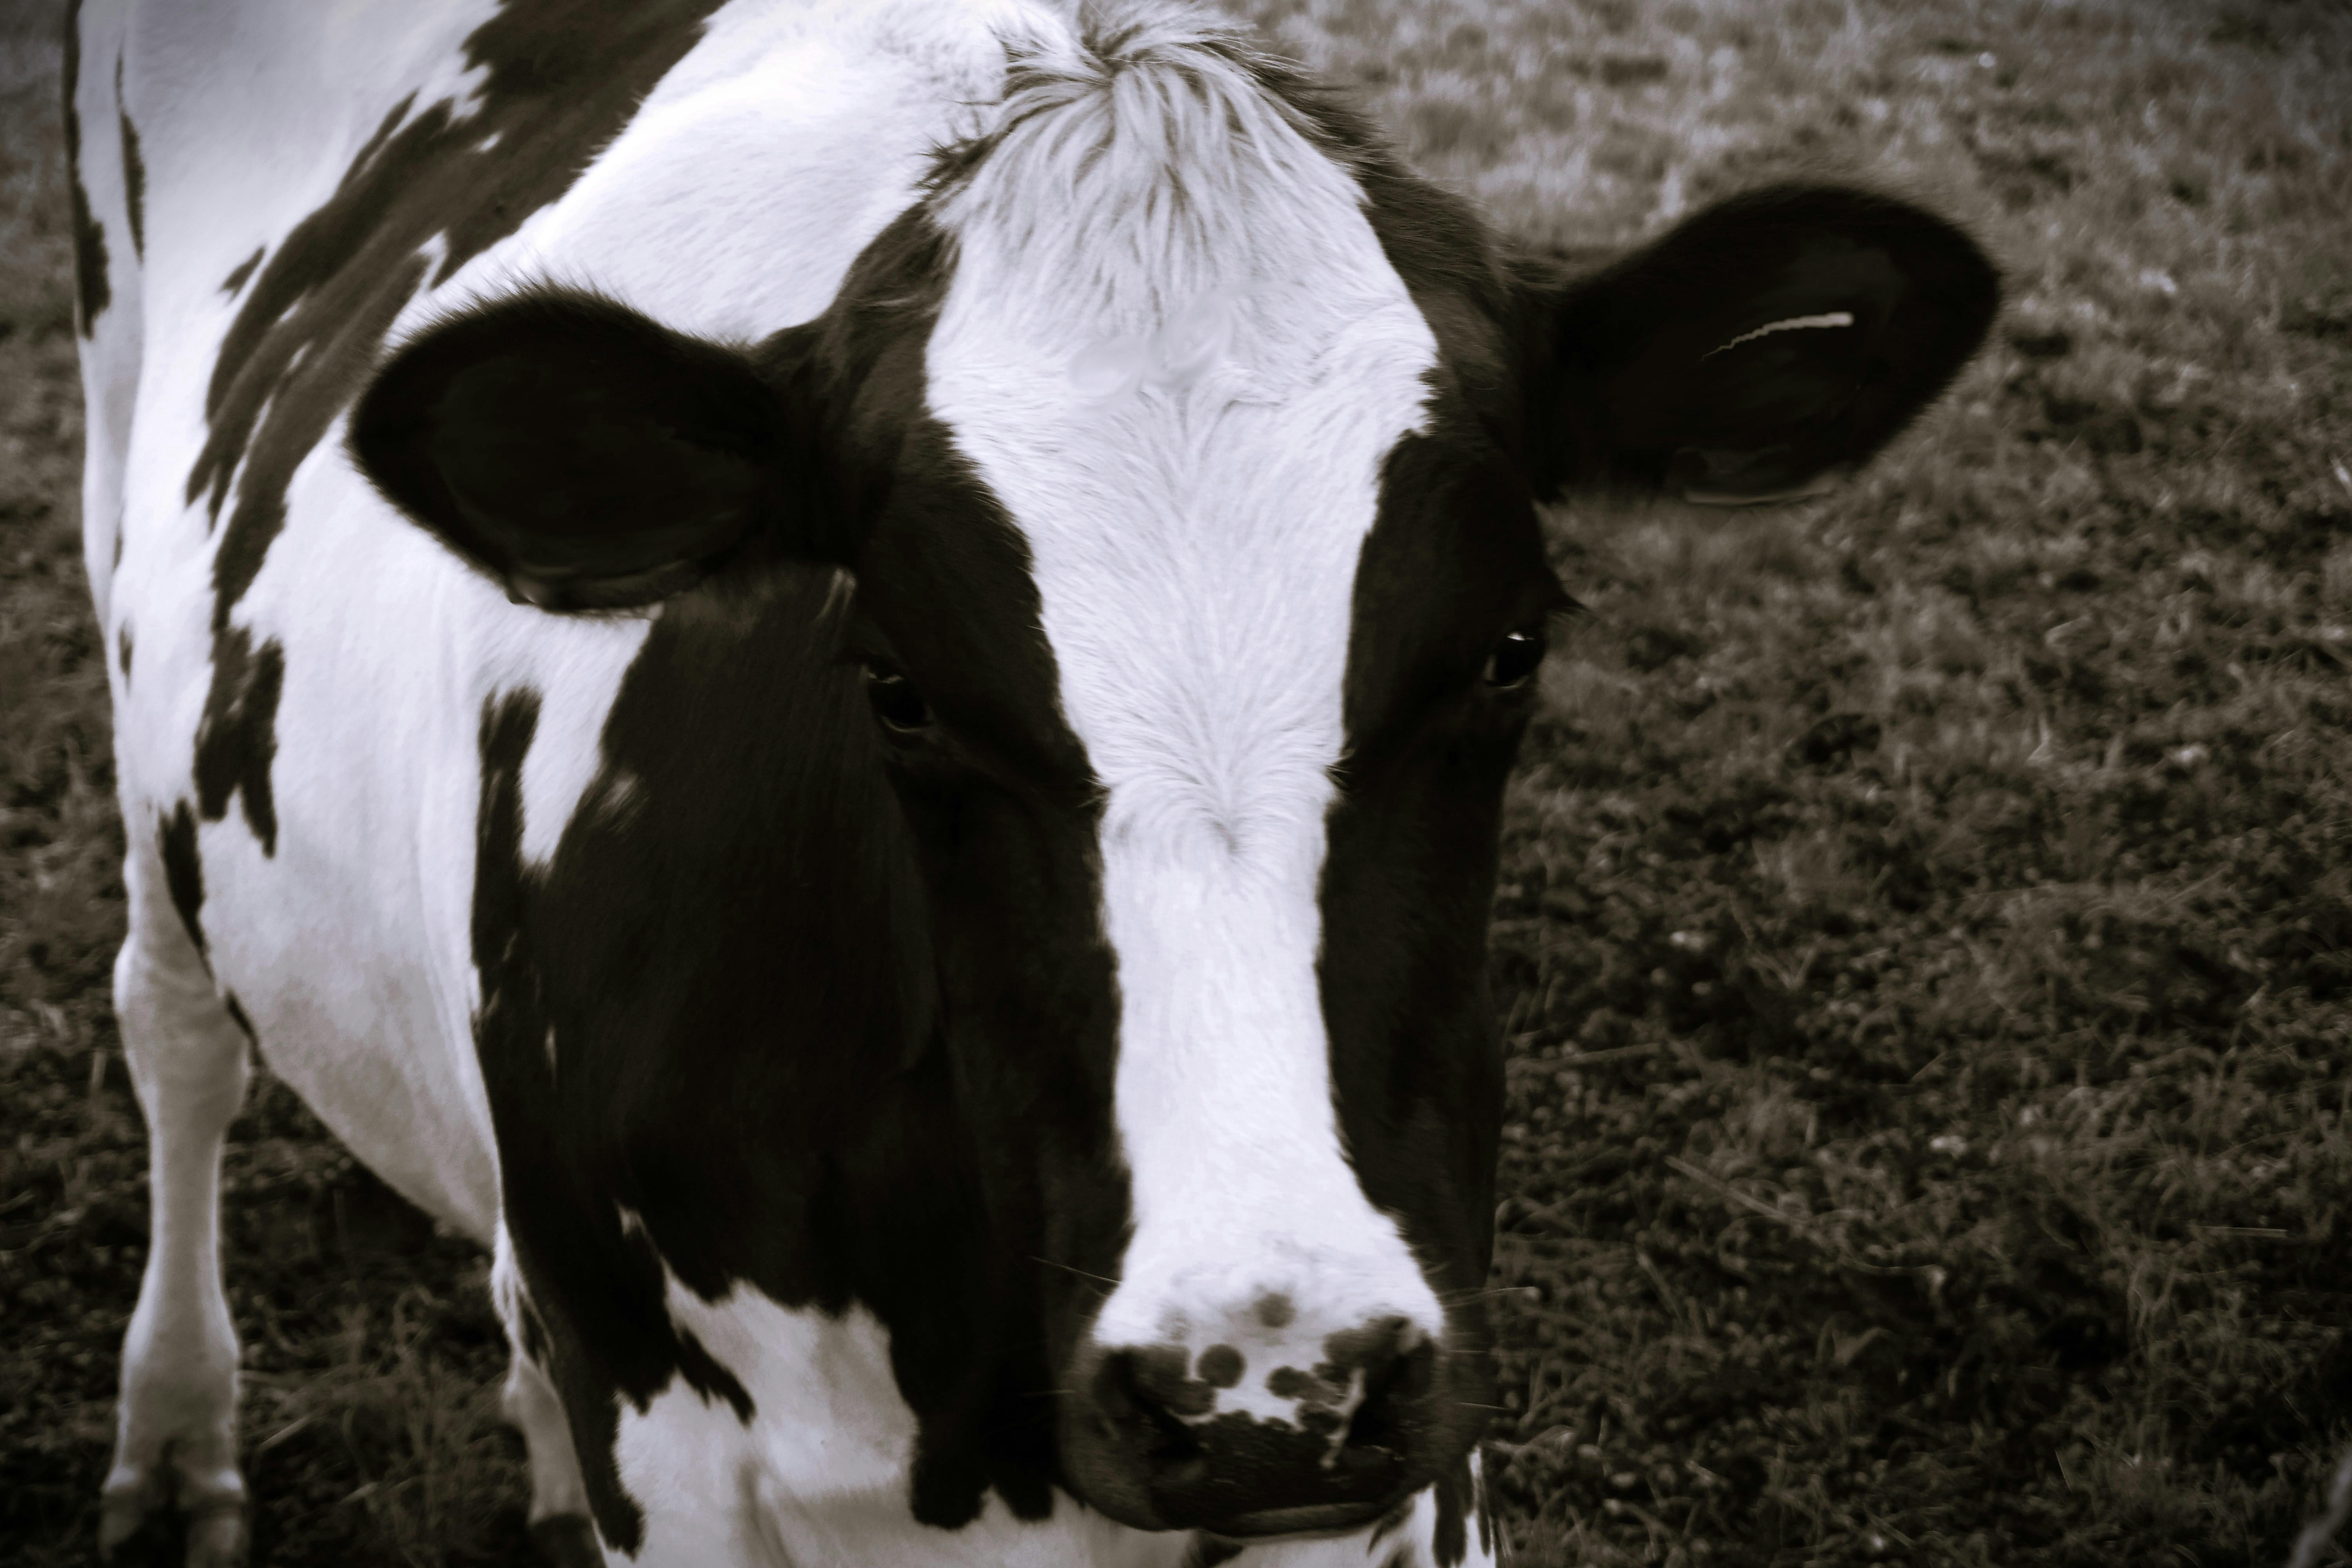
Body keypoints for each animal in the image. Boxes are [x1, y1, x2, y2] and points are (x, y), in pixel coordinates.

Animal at [65, 0, 1997, 1563]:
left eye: (1511, 648)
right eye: (897, 687)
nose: (1258, 1385)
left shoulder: (1415, 1441)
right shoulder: (677, 1464)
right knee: (174, 1026)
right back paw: (173, 1442)